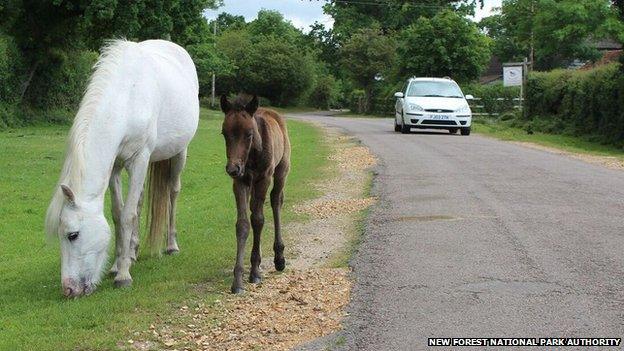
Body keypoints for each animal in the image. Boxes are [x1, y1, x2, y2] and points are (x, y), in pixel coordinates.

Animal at [45, 39, 199, 296]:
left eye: (72, 235)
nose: (69, 289)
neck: (127, 98)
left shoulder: (139, 159)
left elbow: (128, 215)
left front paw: (123, 276)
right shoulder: (115, 167)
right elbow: (119, 214)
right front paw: (118, 264)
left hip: (179, 153)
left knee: (173, 192)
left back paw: (171, 245)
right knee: (139, 200)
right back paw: (133, 251)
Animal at [221, 94, 292, 294]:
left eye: (249, 134)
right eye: (224, 134)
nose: (232, 169)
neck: (251, 156)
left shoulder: (263, 179)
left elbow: (258, 220)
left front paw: (254, 272)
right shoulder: (241, 182)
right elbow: (243, 224)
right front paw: (237, 281)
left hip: (282, 170)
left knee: (276, 201)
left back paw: (279, 258)